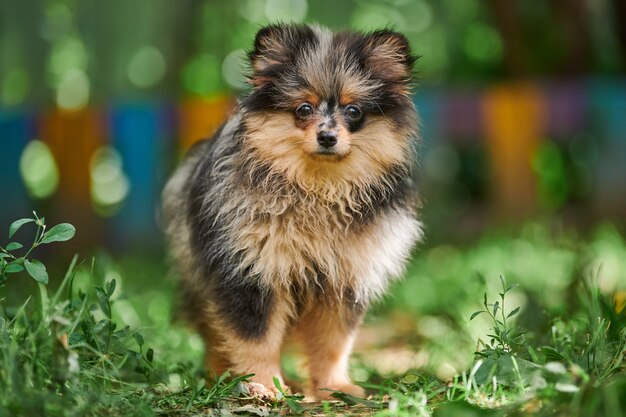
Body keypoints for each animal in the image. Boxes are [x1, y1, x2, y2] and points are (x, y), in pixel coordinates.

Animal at [163, 23, 422, 400]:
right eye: (303, 109)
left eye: (354, 111)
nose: (327, 136)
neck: (318, 190)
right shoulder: (252, 270)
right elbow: (255, 339)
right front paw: (263, 385)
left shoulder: (343, 280)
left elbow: (333, 344)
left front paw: (334, 386)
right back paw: (221, 379)